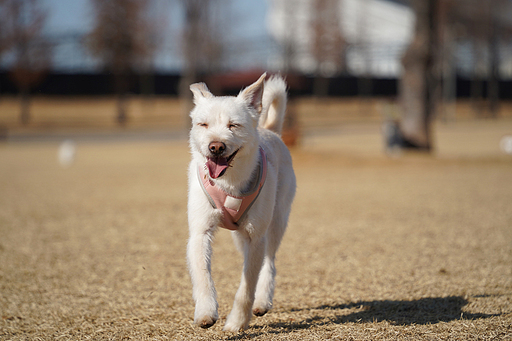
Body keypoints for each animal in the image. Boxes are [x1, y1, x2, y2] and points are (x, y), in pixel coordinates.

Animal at [187, 73, 296, 330]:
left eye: (233, 125)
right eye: (203, 125)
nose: (216, 147)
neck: (228, 183)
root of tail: (269, 130)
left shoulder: (256, 237)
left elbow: (246, 288)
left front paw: (236, 322)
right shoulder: (200, 232)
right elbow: (202, 275)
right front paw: (206, 312)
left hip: (275, 223)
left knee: (269, 263)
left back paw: (262, 301)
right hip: (239, 236)